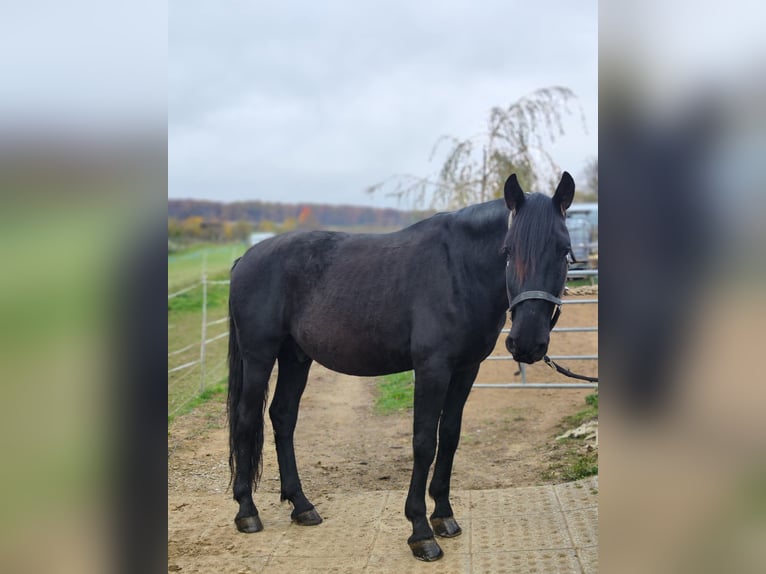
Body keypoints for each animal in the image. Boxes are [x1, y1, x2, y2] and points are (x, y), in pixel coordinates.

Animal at [227, 172, 576, 561]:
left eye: (563, 250)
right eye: (508, 250)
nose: (527, 343)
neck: (458, 269)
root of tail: (245, 259)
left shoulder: (465, 369)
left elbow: (449, 436)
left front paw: (444, 516)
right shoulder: (432, 369)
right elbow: (423, 441)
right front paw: (420, 531)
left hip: (295, 357)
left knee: (283, 416)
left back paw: (302, 506)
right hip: (259, 356)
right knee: (246, 419)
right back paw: (247, 511)